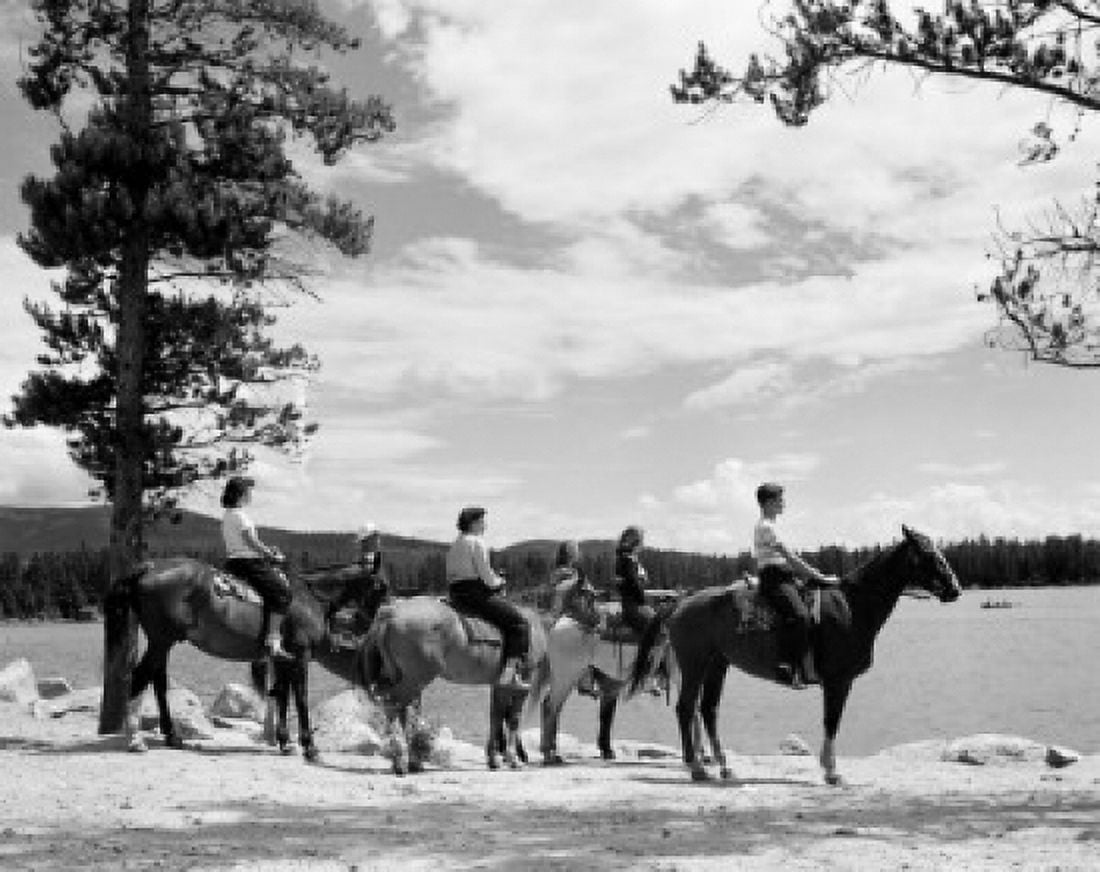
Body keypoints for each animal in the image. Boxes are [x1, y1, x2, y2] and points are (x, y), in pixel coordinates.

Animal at [102, 557, 366, 760]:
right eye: (378, 586)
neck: (310, 597)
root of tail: (150, 566)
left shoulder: (285, 659)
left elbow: (282, 694)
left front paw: (285, 742)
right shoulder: (301, 655)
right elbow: (300, 698)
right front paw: (309, 747)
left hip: (163, 642)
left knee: (158, 680)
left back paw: (171, 735)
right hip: (161, 640)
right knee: (140, 676)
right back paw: (135, 739)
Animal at [354, 594, 548, 774]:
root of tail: (391, 612)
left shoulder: (499, 685)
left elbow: (496, 717)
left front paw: (494, 759)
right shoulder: (522, 684)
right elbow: (513, 719)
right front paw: (512, 759)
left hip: (401, 677)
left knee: (400, 709)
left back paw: (411, 761)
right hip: (416, 678)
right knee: (395, 705)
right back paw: (402, 761)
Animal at [629, 525, 962, 784]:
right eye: (929, 555)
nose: (955, 589)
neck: (852, 606)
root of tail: (680, 601)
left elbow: (831, 722)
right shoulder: (838, 681)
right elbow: (831, 721)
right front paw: (831, 771)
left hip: (716, 664)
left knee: (708, 710)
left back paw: (723, 766)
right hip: (694, 663)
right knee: (686, 709)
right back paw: (697, 767)